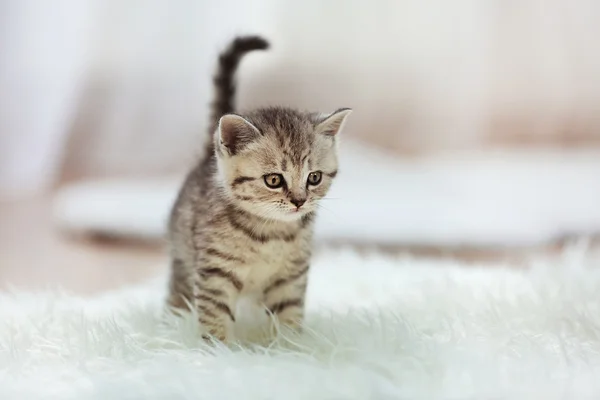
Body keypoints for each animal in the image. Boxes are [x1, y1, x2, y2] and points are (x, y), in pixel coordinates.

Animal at [165, 36, 352, 344]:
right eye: (274, 180)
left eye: (314, 178)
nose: (299, 201)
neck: (271, 232)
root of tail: (207, 158)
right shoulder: (215, 271)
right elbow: (214, 315)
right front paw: (216, 350)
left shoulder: (291, 275)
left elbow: (288, 313)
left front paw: (291, 347)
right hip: (182, 253)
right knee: (178, 291)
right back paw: (171, 323)